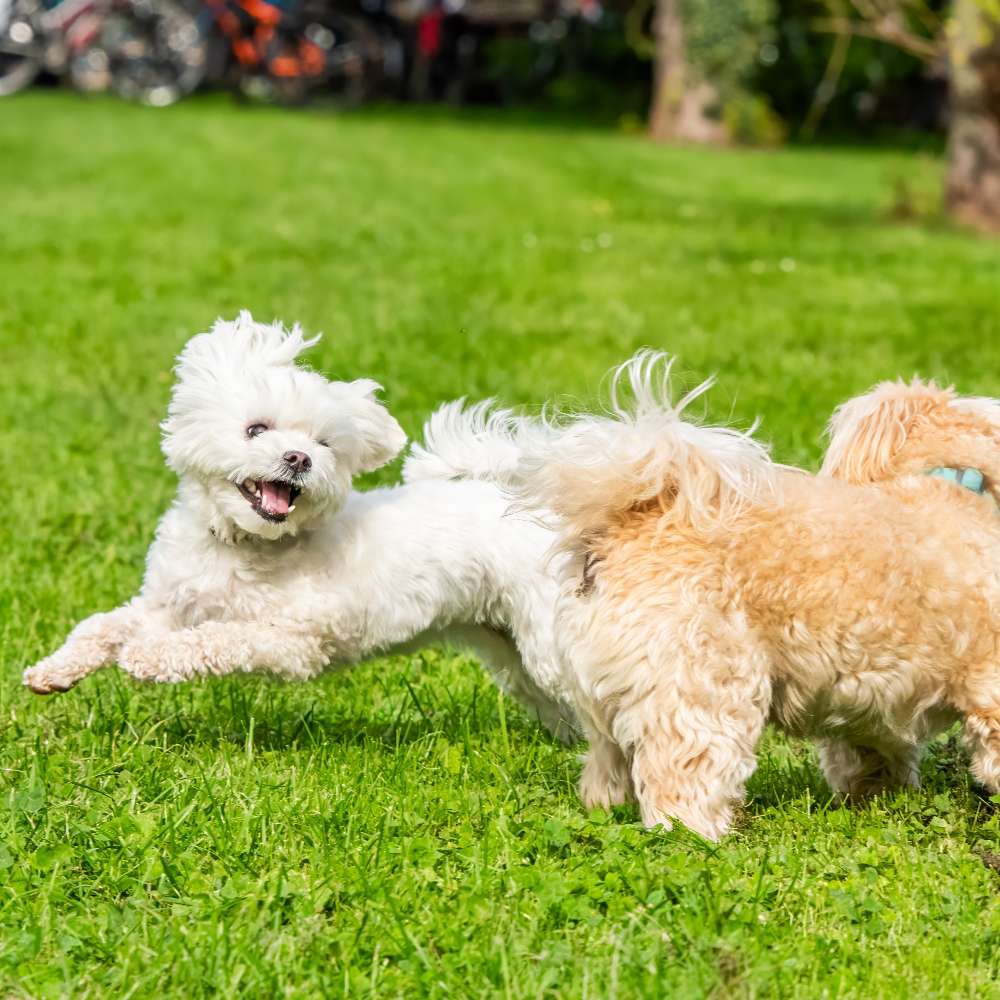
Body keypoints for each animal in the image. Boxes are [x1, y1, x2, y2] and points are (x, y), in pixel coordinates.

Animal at [23, 312, 580, 744]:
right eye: (256, 429)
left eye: (325, 444)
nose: (299, 457)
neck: (243, 545)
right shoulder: (169, 603)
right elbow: (103, 626)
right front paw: (53, 671)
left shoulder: (292, 641)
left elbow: (217, 639)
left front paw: (149, 658)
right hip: (513, 652)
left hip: (546, 642)